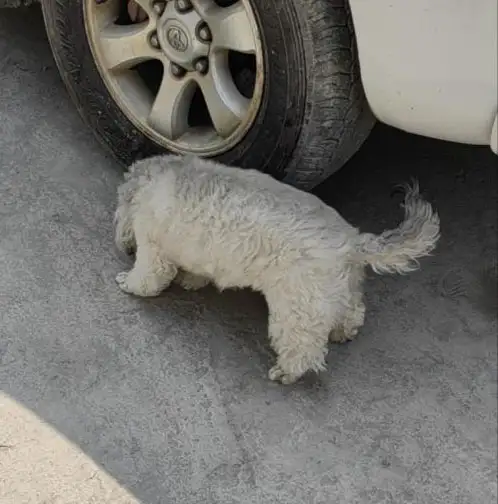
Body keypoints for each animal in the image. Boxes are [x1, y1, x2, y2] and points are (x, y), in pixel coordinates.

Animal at [113, 156, 440, 384]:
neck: (151, 184)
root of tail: (352, 240)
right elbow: (197, 272)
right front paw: (191, 280)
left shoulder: (154, 249)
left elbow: (148, 277)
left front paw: (129, 283)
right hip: (334, 291)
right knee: (353, 310)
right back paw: (344, 331)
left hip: (298, 308)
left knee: (304, 349)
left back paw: (288, 372)